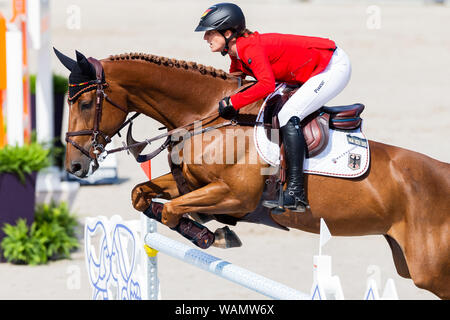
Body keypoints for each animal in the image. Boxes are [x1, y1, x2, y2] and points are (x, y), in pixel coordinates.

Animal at [57, 49, 450, 298]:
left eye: (86, 103)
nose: (74, 166)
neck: (208, 116)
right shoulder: (192, 185)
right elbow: (142, 195)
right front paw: (211, 233)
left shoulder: (235, 196)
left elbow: (170, 210)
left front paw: (214, 236)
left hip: (430, 269)